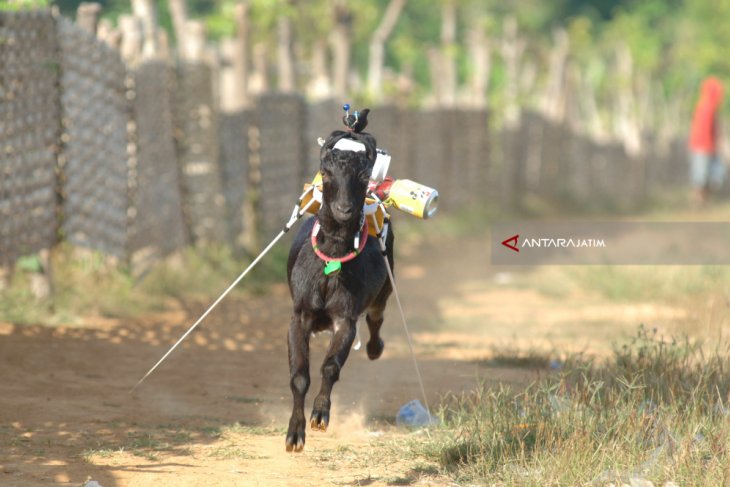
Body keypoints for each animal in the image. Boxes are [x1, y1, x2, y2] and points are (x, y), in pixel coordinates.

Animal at [282, 131, 392, 454]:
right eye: (327, 173)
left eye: (364, 175)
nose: (344, 210)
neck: (331, 260)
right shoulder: (300, 316)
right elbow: (299, 376)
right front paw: (294, 435)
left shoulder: (345, 318)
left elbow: (330, 367)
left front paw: (319, 415)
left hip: (384, 289)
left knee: (376, 318)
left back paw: (375, 348)